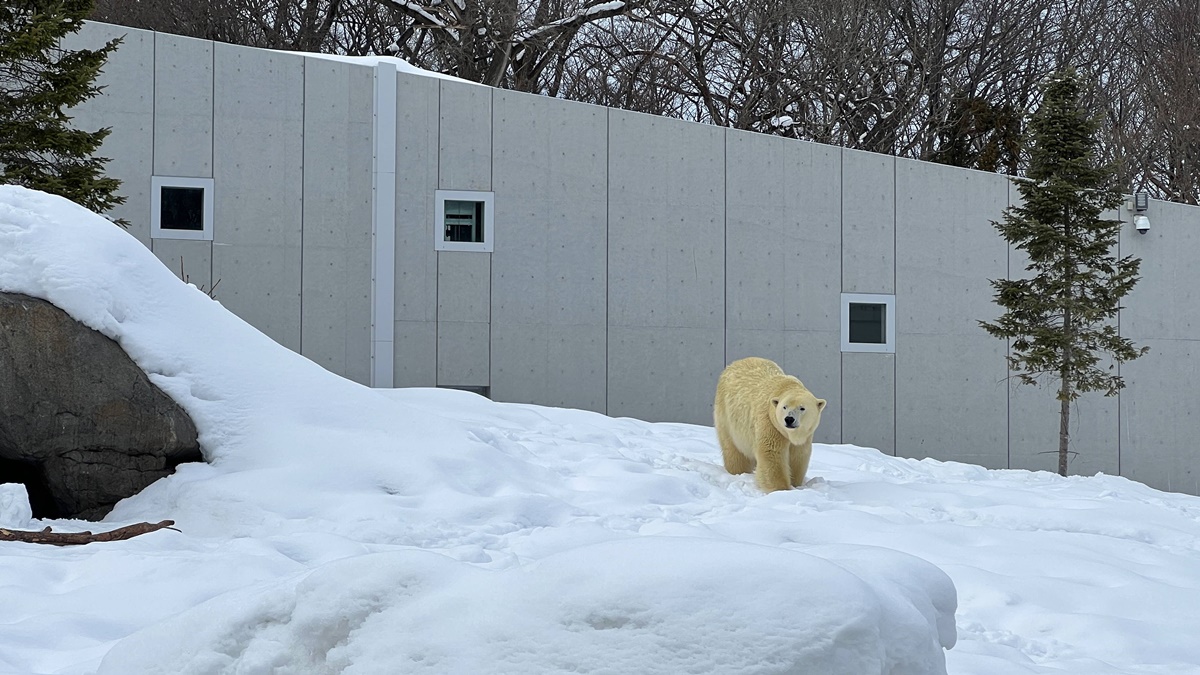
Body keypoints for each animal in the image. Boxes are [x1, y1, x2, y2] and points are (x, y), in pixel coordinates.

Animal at [710, 355, 825, 492]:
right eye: (784, 407)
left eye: (802, 408)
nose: (789, 419)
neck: (785, 386)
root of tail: (732, 365)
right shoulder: (770, 423)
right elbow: (771, 453)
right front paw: (781, 489)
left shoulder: (805, 436)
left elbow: (798, 456)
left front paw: (795, 483)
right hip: (727, 418)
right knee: (733, 450)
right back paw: (738, 471)